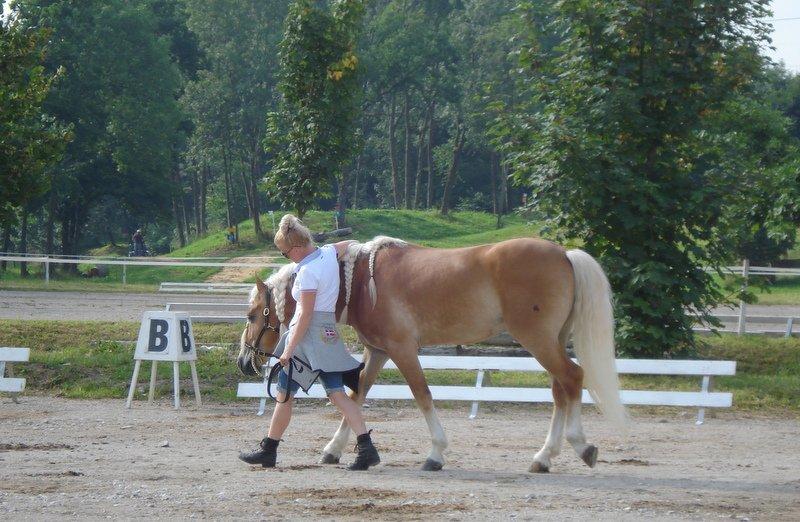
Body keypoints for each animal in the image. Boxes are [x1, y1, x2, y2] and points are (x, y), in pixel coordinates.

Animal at [238, 236, 624, 472]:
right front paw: (337, 450)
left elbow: (422, 395)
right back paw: (544, 458)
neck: (359, 280)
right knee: (561, 390)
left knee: (572, 378)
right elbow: (356, 396)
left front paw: (436, 453)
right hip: (550, 342)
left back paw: (580, 447)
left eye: (253, 315)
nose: (244, 362)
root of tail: (565, 254)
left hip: (539, 341)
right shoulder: (378, 351)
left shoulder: (402, 350)